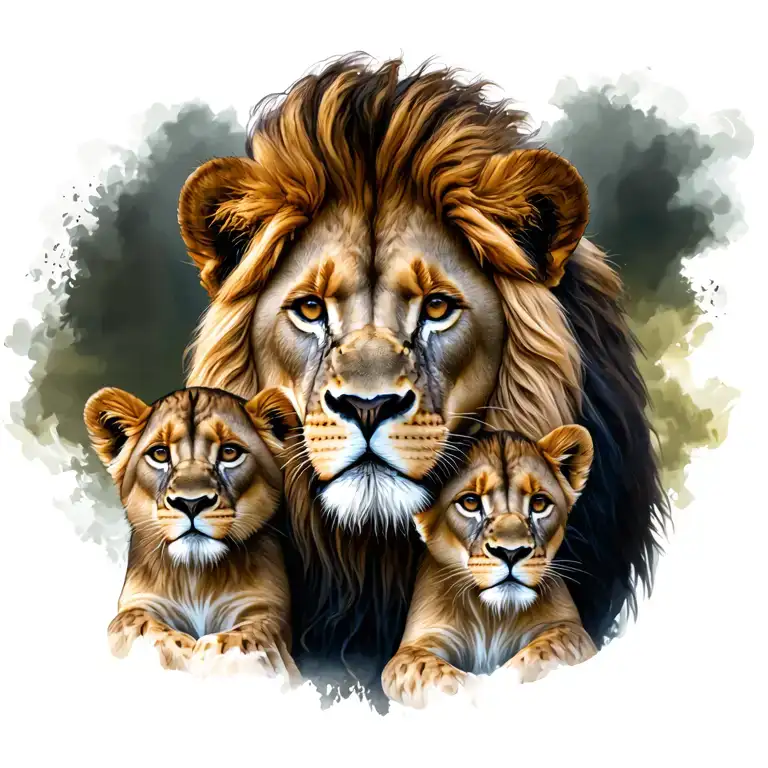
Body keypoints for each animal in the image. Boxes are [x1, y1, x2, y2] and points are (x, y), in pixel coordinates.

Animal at [84, 384, 301, 682]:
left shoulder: (264, 608)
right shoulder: (140, 603)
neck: (196, 576)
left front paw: (220, 658)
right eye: (160, 454)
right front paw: (178, 655)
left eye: (230, 452)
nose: (191, 503)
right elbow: (136, 625)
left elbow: (247, 637)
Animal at [382, 427, 597, 708]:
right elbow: (431, 674)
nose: (511, 552)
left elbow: (544, 653)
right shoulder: (417, 644)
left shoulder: (569, 628)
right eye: (470, 502)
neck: (492, 616)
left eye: (539, 503)